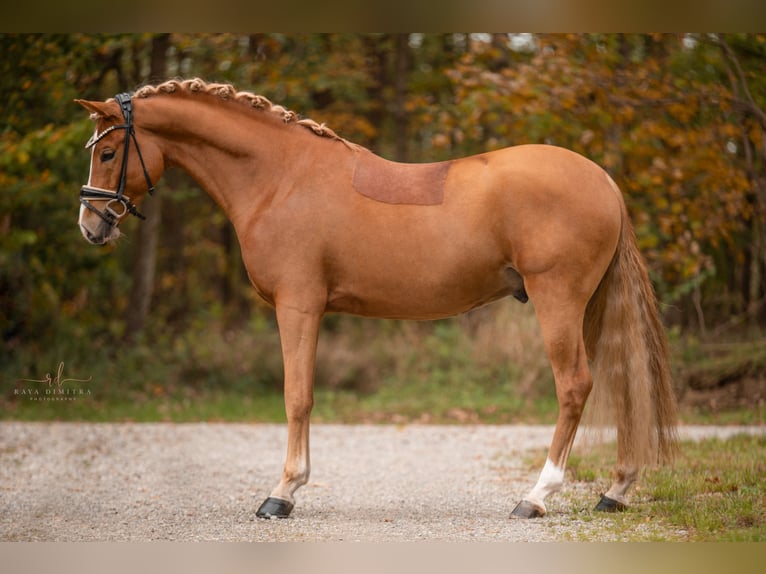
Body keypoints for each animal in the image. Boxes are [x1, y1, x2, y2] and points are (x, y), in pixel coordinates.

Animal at [76, 79, 680, 524]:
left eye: (108, 151)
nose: (91, 226)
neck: (281, 178)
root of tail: (603, 180)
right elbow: (305, 396)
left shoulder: (298, 306)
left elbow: (297, 397)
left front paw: (283, 493)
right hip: (592, 306)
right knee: (624, 385)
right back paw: (617, 490)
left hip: (559, 302)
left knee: (575, 386)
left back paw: (535, 497)